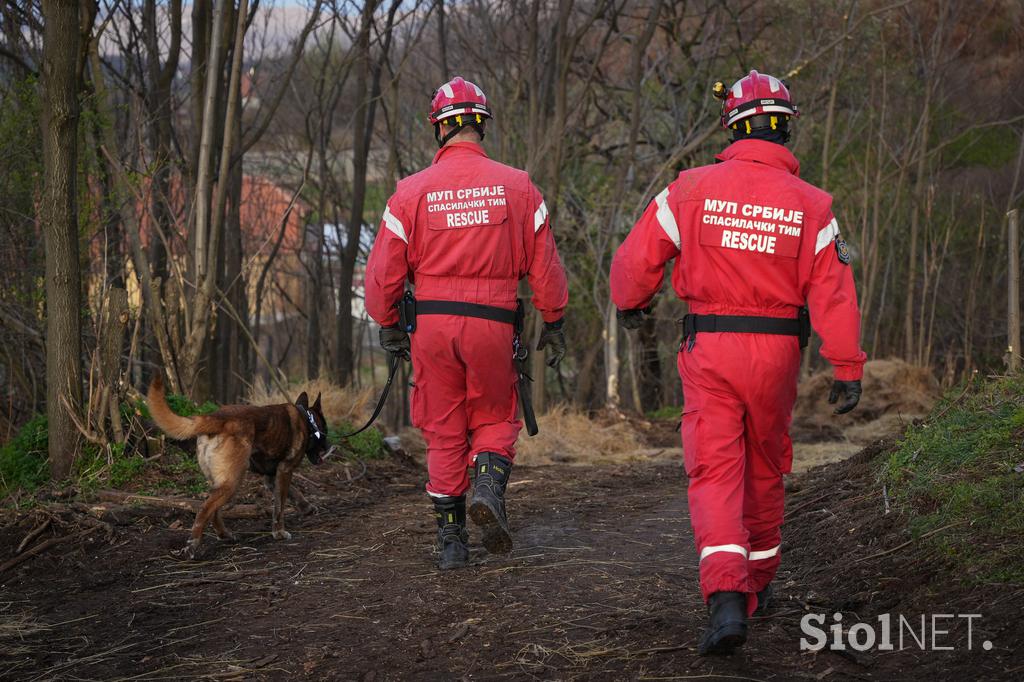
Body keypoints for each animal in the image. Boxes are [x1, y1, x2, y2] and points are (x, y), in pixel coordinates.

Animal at [146, 372, 329, 557]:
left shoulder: (272, 477)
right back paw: (193, 545)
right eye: (325, 431)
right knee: (204, 509)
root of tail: (216, 418)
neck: (306, 419)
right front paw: (279, 532)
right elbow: (279, 507)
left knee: (214, 511)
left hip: (221, 481)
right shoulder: (285, 470)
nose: (329, 447)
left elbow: (294, 493)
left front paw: (306, 507)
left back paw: (224, 535)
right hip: (232, 482)